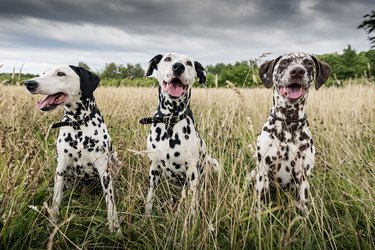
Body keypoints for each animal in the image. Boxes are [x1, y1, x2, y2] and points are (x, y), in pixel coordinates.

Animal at [24, 65, 119, 231]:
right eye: (44, 73)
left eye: (60, 74)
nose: (29, 83)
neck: (78, 124)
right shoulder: (61, 169)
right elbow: (55, 201)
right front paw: (53, 223)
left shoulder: (104, 171)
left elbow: (111, 202)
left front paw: (115, 227)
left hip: (115, 160)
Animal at [142, 52, 222, 217]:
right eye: (167, 59)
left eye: (189, 63)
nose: (178, 67)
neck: (171, 121)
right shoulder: (154, 167)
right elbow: (150, 196)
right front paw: (146, 216)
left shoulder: (192, 171)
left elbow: (192, 200)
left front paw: (192, 218)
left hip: (213, 163)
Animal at [250, 52, 332, 213]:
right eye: (284, 62)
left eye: (308, 63)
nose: (298, 71)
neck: (288, 123)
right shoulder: (262, 172)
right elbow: (260, 205)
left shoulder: (302, 177)